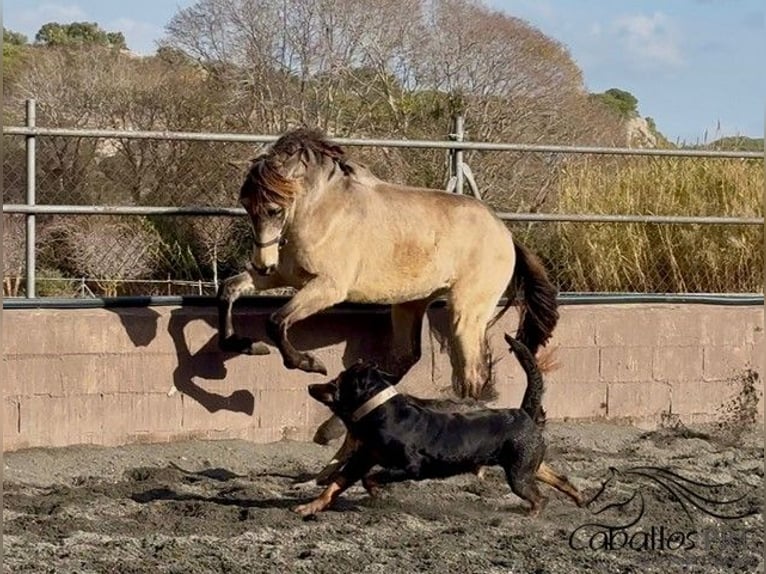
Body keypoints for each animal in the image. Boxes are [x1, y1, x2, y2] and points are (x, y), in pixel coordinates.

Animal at [217, 127, 558, 430]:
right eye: (247, 205)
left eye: (274, 209)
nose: (262, 264)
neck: (322, 212)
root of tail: (506, 233)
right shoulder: (286, 275)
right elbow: (228, 291)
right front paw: (243, 344)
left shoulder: (327, 287)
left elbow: (276, 321)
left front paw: (308, 363)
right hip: (410, 303)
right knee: (407, 358)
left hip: (467, 312)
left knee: (472, 375)